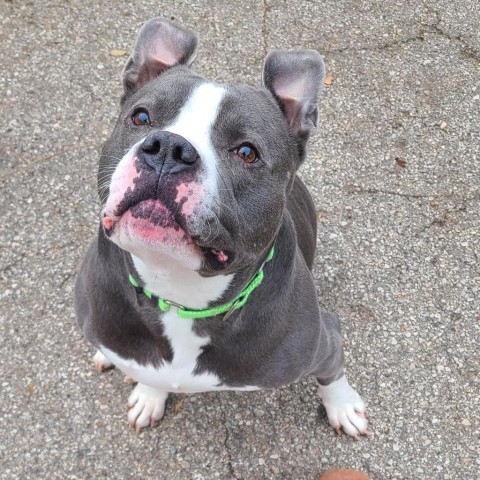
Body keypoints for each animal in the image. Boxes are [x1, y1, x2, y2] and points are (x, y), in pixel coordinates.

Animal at [75, 16, 370, 436]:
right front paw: (149, 395)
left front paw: (343, 407)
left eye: (247, 152)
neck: (178, 294)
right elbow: (148, 372)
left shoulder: (323, 340)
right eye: (141, 117)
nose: (169, 148)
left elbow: (333, 370)